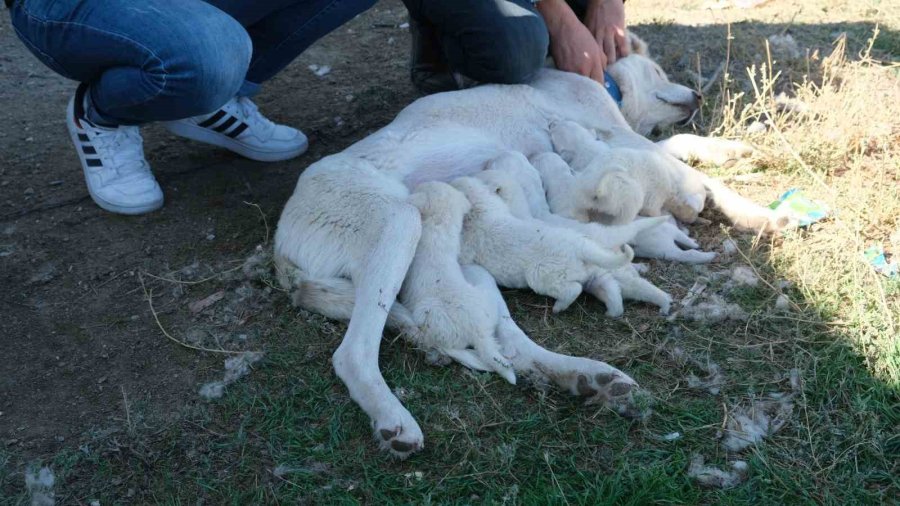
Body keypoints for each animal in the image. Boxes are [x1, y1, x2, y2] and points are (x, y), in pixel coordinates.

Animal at [450, 177, 632, 312]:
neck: (483, 210)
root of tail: (579, 247)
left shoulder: (468, 246)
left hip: (542, 275)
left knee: (573, 289)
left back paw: (558, 307)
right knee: (608, 287)